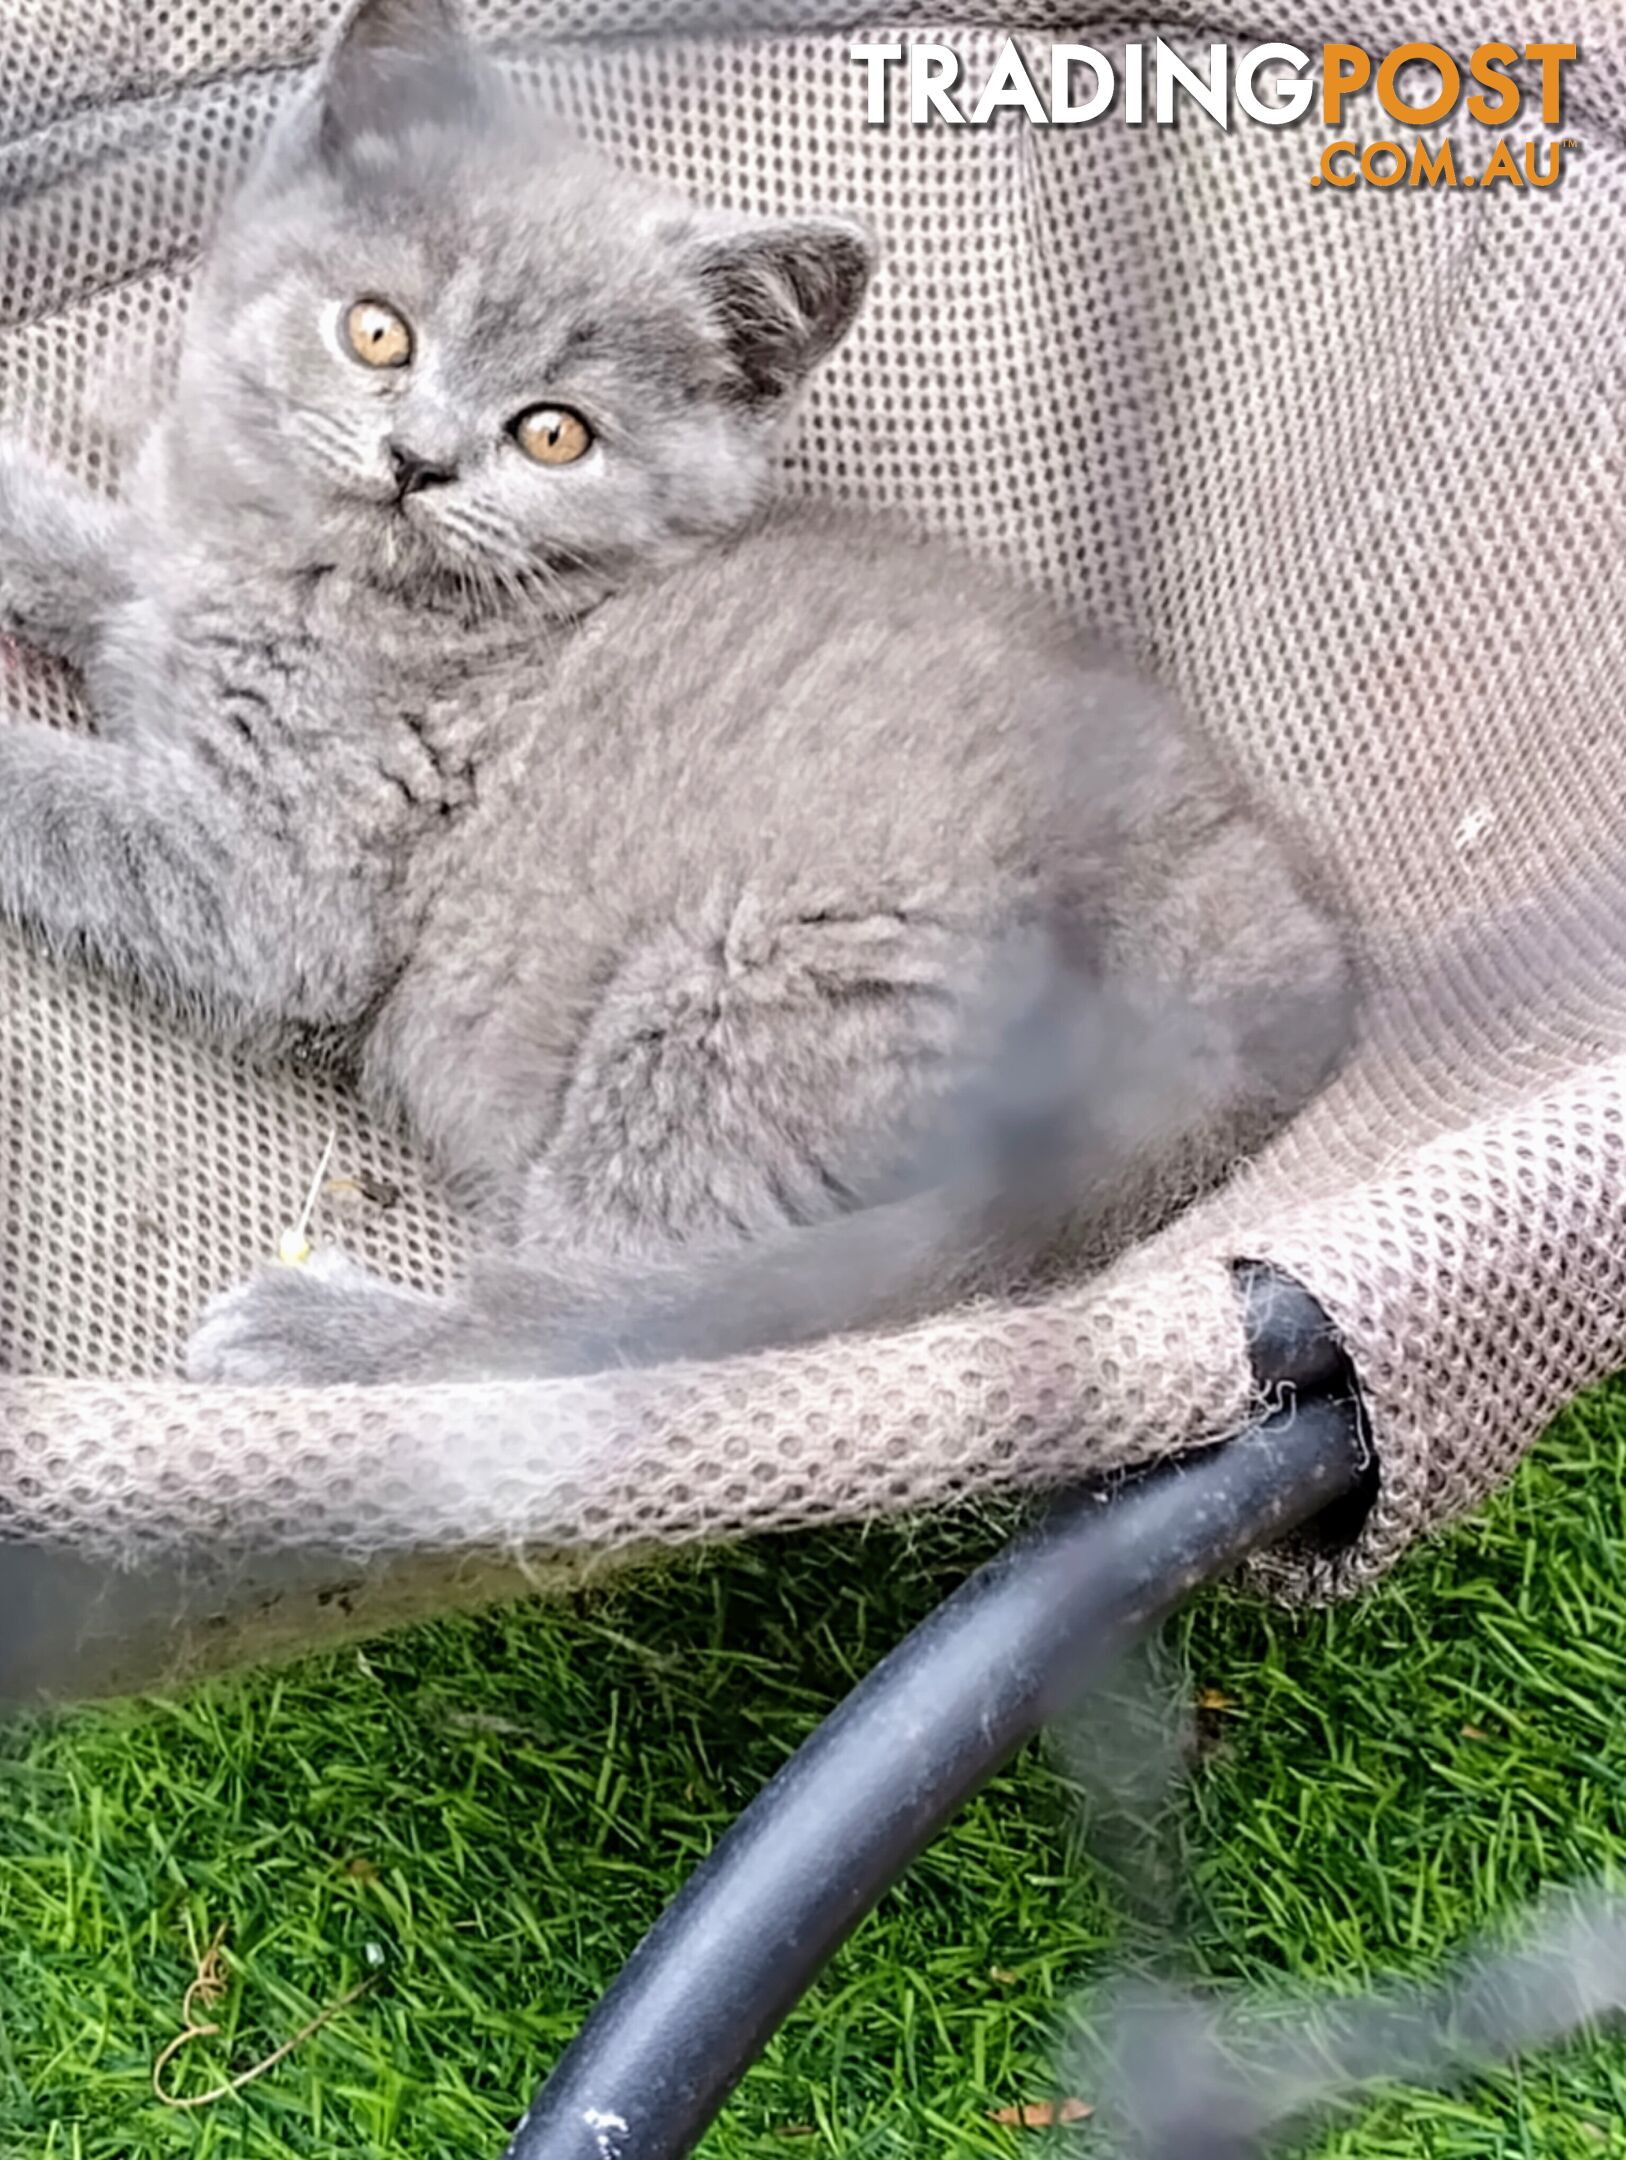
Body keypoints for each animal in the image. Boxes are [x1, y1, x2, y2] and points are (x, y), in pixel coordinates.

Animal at [0, 0, 1347, 1382]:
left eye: (554, 435)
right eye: (379, 330)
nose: (418, 462)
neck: (310, 576)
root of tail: (1270, 955)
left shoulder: (281, 892)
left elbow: (73, 807)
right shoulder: (158, 586)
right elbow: (102, 564)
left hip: (742, 1000)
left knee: (596, 1335)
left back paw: (326, 1336)